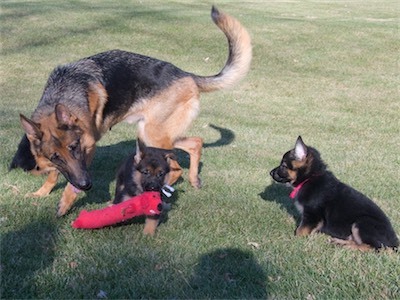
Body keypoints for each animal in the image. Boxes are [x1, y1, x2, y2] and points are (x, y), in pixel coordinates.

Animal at [9, 6, 252, 216]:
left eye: (75, 147)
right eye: (55, 156)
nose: (86, 185)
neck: (63, 93)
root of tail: (186, 74)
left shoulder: (89, 148)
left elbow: (70, 183)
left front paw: (66, 203)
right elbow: (55, 174)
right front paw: (43, 192)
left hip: (152, 134)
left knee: (175, 169)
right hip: (156, 133)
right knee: (195, 143)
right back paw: (193, 180)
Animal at [270, 136, 398, 251]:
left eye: (283, 166)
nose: (270, 173)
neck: (310, 177)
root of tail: (395, 243)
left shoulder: (312, 216)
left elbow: (300, 231)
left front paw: (292, 240)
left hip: (361, 223)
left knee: (372, 247)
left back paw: (347, 246)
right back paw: (339, 242)